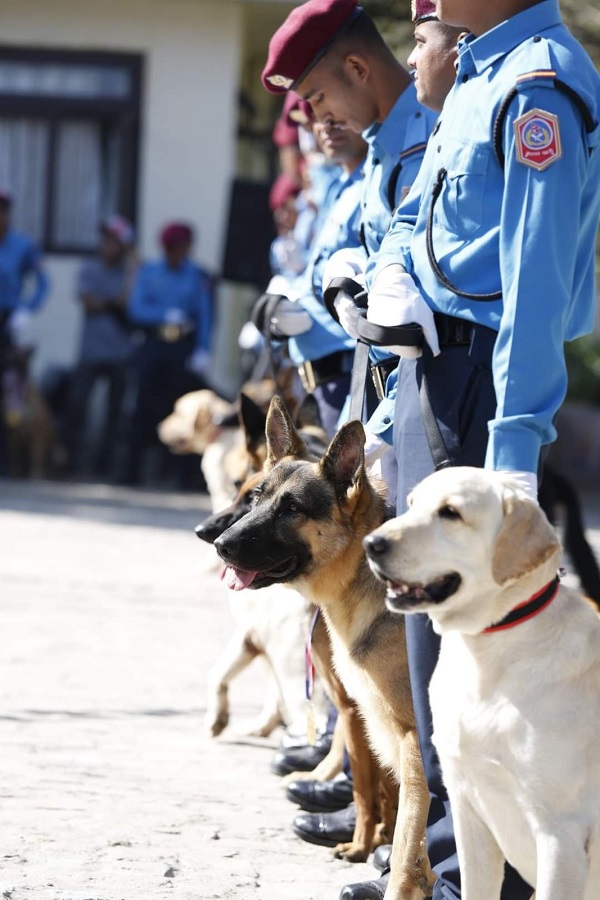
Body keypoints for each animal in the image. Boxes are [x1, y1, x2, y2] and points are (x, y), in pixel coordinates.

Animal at [216, 400, 436, 900]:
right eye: (256, 498)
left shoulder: (413, 748)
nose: (219, 544)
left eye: (292, 508)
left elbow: (405, 842)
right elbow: (396, 822)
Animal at [360, 468, 600, 900]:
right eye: (411, 504)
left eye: (451, 513)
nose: (371, 543)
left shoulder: (563, 838)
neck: (487, 656)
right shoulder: (469, 811)